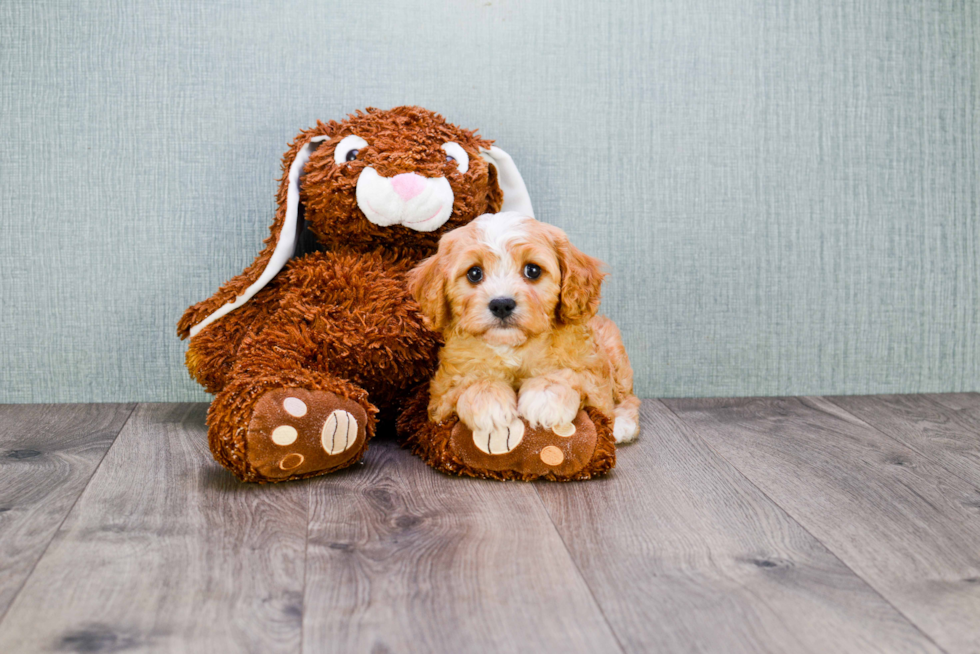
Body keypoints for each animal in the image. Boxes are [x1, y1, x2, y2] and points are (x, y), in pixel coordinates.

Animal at [408, 213, 644, 448]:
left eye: (533, 270)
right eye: (474, 273)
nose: (501, 304)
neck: (513, 347)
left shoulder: (593, 373)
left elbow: (570, 376)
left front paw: (544, 396)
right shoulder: (442, 394)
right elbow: (469, 383)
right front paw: (489, 402)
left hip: (615, 352)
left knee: (628, 397)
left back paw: (622, 425)